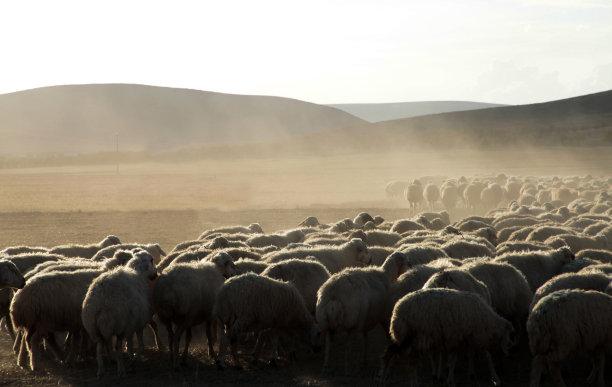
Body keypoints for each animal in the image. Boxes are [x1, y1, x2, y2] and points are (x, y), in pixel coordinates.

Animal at [80, 249, 158, 378]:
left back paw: (101, 371)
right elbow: (140, 347)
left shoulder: (132, 324)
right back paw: (121, 370)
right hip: (121, 324)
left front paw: (131, 358)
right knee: (117, 346)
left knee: (99, 348)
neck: (139, 274)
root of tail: (104, 303)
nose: (155, 275)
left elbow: (130, 345)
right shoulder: (138, 324)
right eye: (152, 260)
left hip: (93, 327)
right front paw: (132, 362)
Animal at [380, 290, 512, 386]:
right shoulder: (460, 337)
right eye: (510, 335)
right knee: (410, 362)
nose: (510, 351)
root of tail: (397, 312)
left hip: (405, 338)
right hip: (416, 338)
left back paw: (383, 377)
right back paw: (412, 382)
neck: (488, 322)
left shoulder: (464, 338)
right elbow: (456, 360)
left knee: (389, 353)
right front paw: (496, 378)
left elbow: (481, 356)